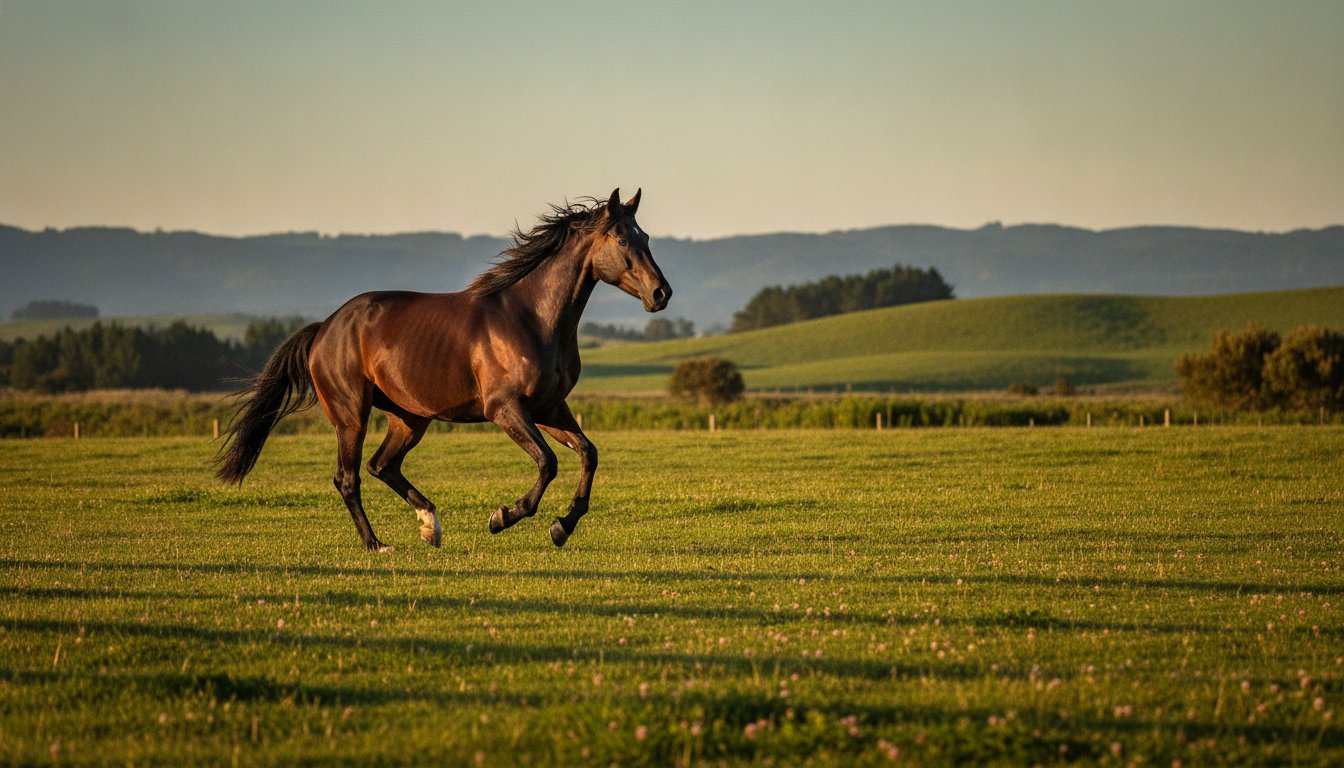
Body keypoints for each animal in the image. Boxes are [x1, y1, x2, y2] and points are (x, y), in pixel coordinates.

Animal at [213, 189, 671, 551]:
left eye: (646, 237)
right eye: (621, 237)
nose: (660, 293)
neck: (532, 318)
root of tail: (325, 327)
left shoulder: (549, 408)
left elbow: (588, 455)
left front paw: (562, 527)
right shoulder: (506, 410)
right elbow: (547, 462)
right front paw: (503, 517)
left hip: (409, 417)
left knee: (382, 465)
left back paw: (429, 525)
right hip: (351, 415)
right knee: (348, 477)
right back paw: (377, 544)